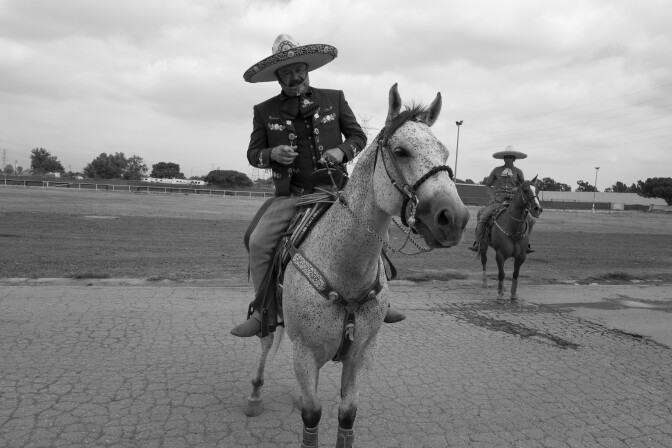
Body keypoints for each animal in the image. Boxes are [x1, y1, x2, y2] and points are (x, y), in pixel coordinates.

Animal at [244, 83, 470, 444]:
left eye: (446, 153)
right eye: (401, 151)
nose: (454, 219)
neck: (346, 270)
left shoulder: (363, 353)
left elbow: (346, 416)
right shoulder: (305, 353)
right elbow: (312, 417)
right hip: (269, 312)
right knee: (267, 342)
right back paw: (254, 394)